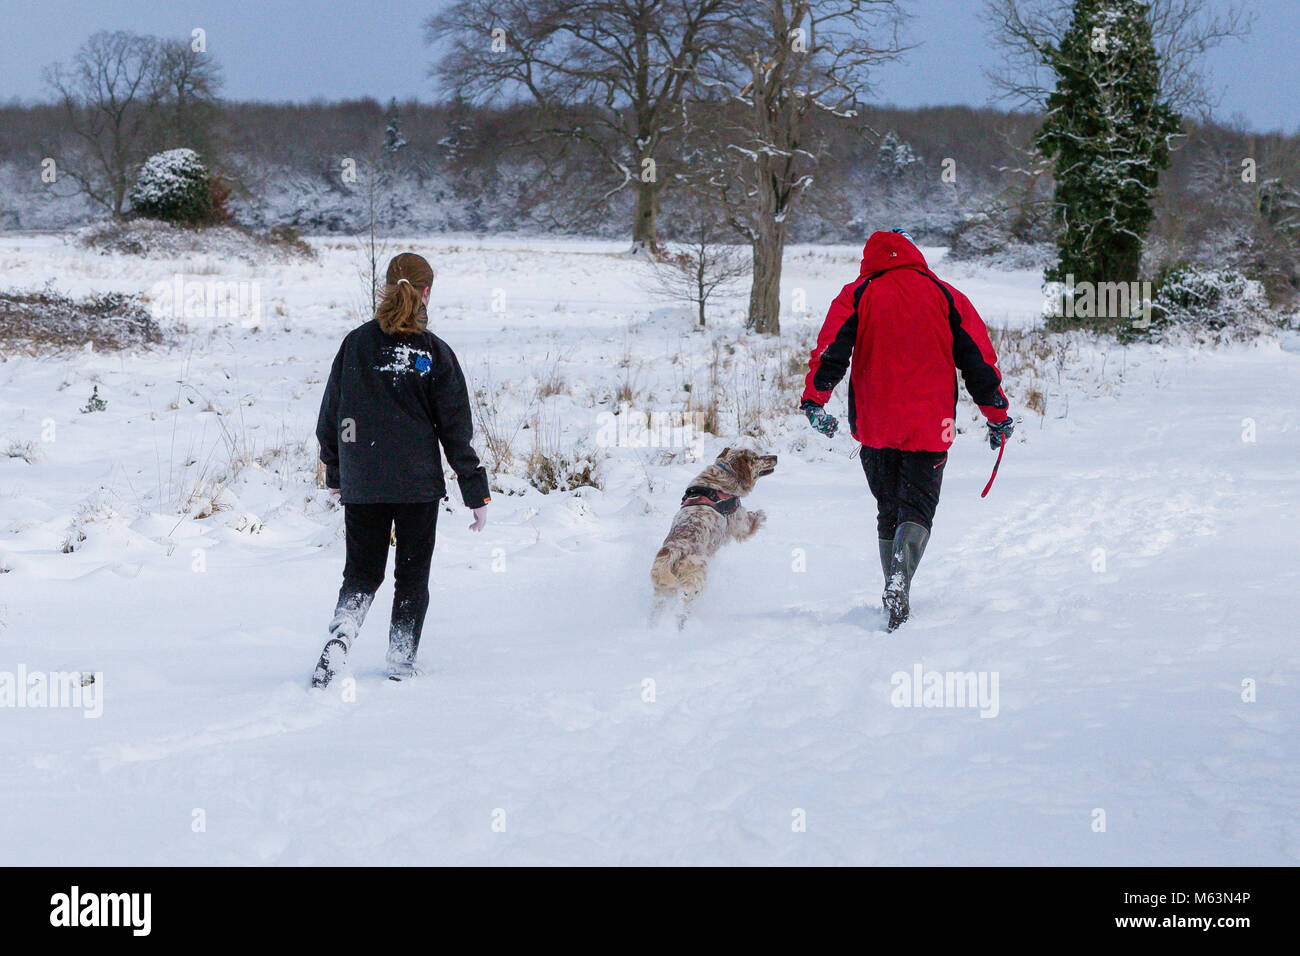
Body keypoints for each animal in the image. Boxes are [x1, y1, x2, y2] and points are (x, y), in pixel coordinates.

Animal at [655, 447, 774, 629]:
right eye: (756, 457)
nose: (776, 457)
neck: (722, 477)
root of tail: (673, 550)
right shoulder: (741, 523)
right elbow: (754, 517)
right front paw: (762, 514)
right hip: (695, 579)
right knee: (683, 603)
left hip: (663, 590)